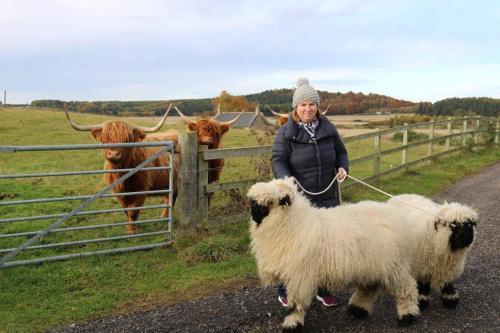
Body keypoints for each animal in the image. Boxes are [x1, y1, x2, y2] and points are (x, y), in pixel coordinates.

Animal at [248, 176, 420, 330]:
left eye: (268, 202)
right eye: (253, 202)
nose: (253, 215)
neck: (295, 224)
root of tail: (396, 215)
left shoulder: (299, 276)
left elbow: (296, 303)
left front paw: (293, 322)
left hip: (393, 265)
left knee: (407, 288)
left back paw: (407, 316)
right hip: (371, 264)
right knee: (369, 286)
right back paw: (358, 310)